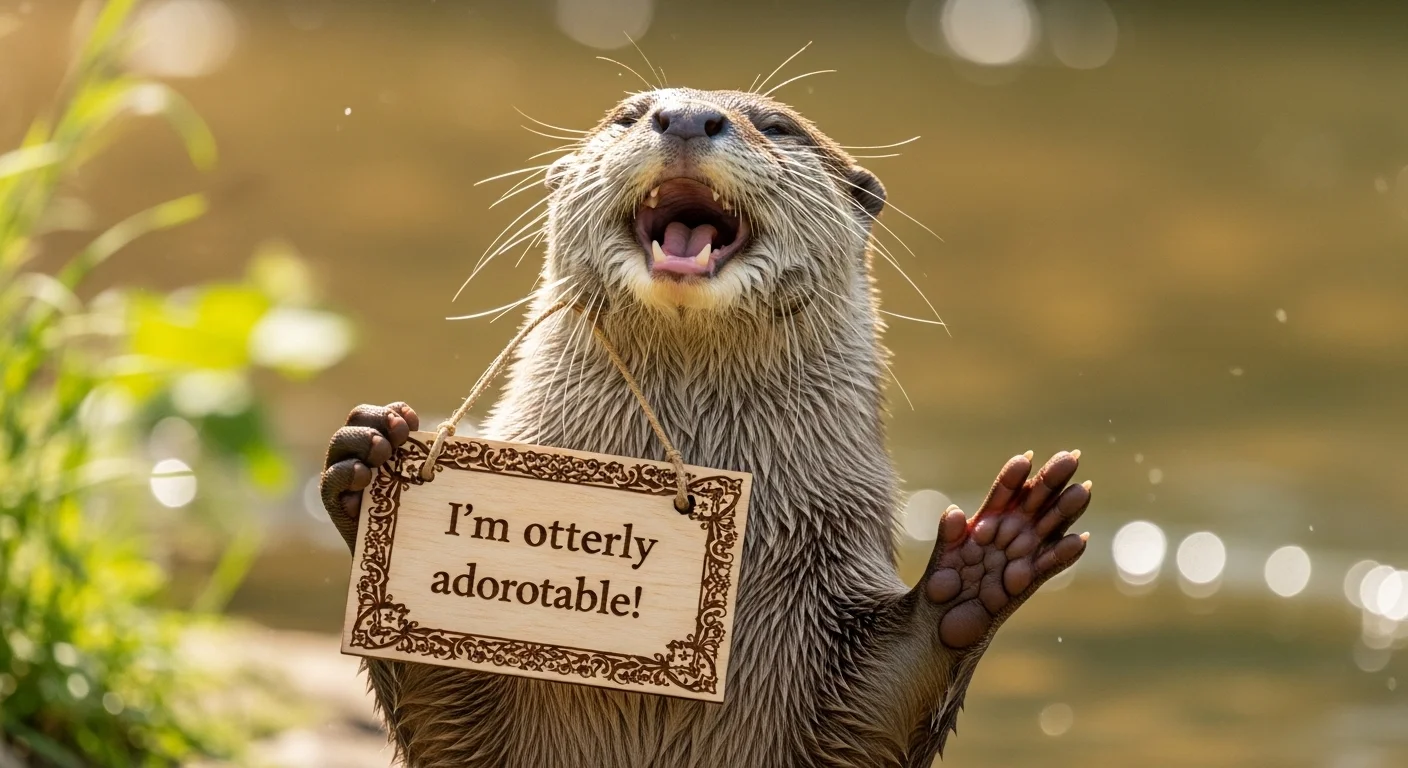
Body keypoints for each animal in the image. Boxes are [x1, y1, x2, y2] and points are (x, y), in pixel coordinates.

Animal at [319, 87, 1092, 768]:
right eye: (628, 114)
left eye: (776, 126)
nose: (686, 114)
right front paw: (374, 465)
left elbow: (883, 709)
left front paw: (987, 560)